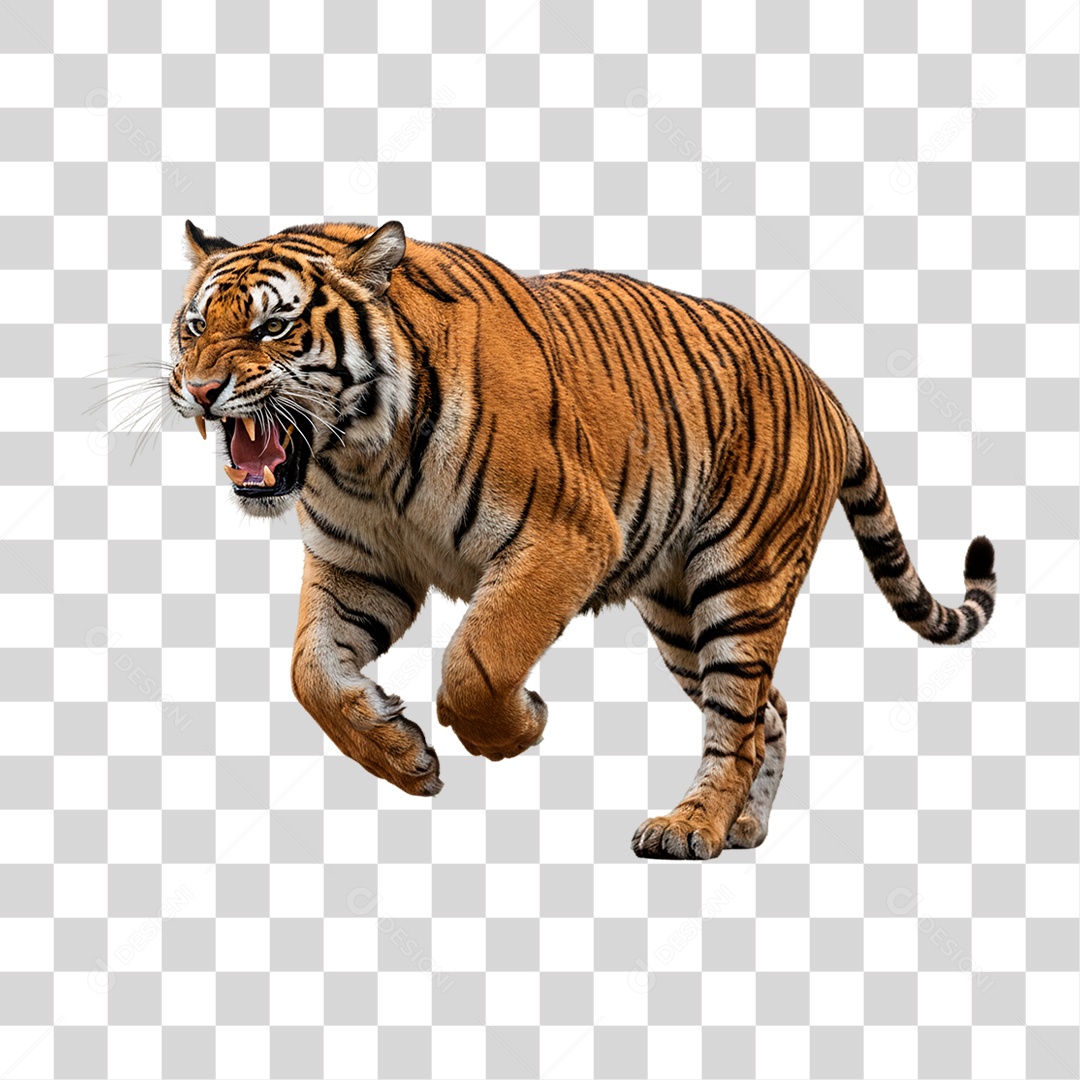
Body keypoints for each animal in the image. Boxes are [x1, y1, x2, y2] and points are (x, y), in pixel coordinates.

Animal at [169, 218, 996, 861]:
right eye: (195, 327)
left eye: (273, 327)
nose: (199, 390)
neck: (361, 458)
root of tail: (820, 384)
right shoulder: (359, 567)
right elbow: (309, 673)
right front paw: (400, 754)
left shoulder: (566, 534)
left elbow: (478, 661)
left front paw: (517, 727)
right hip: (680, 614)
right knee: (768, 714)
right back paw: (743, 827)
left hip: (740, 583)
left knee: (737, 721)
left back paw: (693, 828)